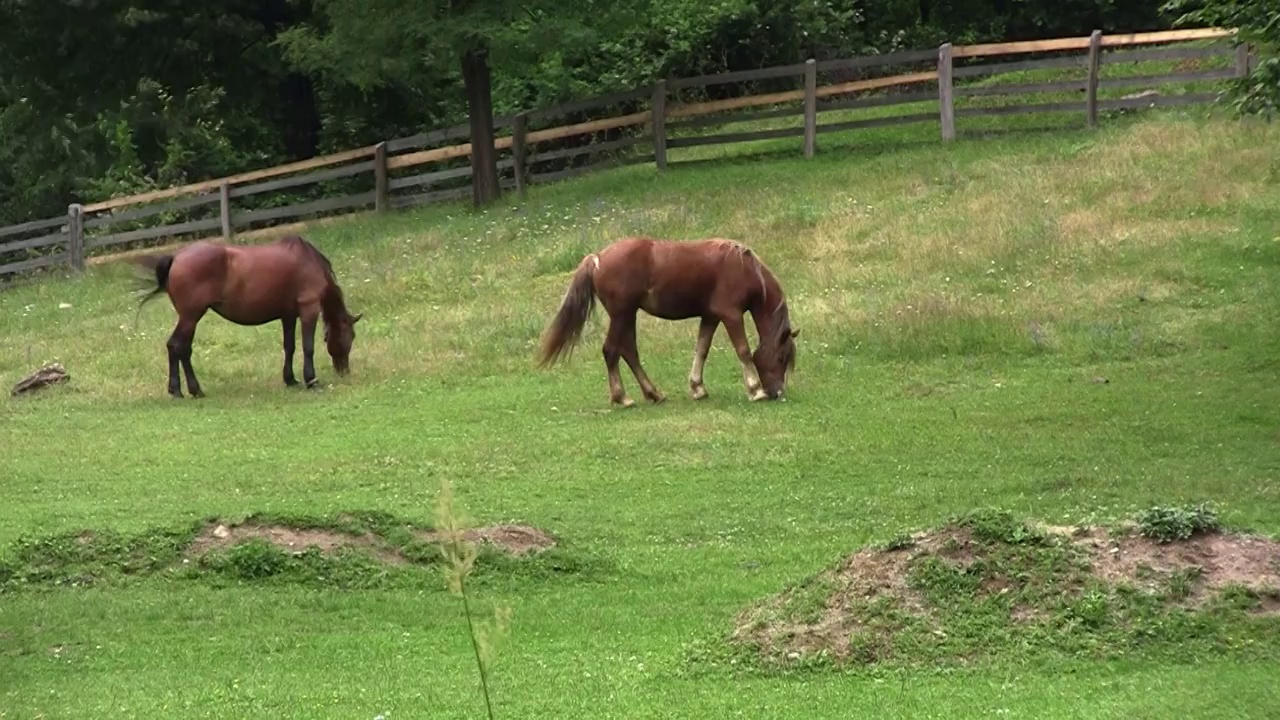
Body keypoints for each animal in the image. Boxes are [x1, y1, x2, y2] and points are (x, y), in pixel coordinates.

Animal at [133, 234, 363, 397]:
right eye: (350, 337)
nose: (344, 371)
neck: (308, 260)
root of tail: (176, 258)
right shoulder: (309, 309)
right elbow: (308, 347)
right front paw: (311, 381)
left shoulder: (288, 315)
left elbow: (289, 347)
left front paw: (290, 380)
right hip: (191, 316)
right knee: (180, 347)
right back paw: (193, 390)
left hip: (189, 317)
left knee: (176, 347)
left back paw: (178, 390)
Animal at [540, 235, 798, 404]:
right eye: (781, 357)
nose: (777, 393)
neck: (744, 268)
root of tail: (597, 258)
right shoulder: (731, 315)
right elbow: (743, 351)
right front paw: (755, 391)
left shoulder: (710, 317)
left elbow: (701, 349)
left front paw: (697, 388)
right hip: (622, 315)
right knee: (612, 351)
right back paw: (622, 398)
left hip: (627, 315)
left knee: (629, 352)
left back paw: (653, 393)